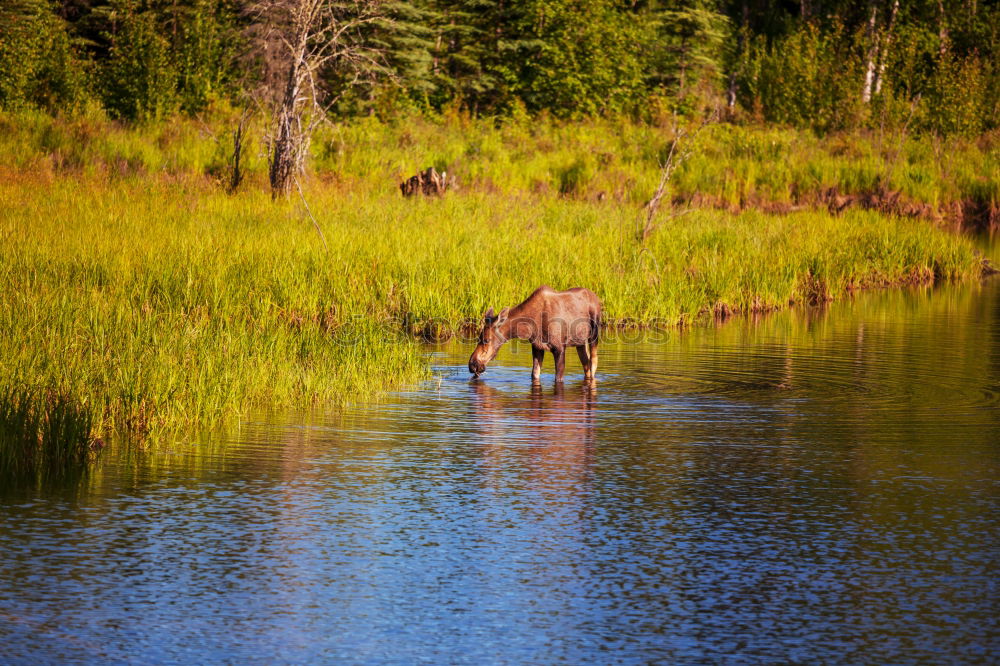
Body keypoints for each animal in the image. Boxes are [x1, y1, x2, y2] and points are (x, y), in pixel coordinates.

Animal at [468, 284, 600, 382]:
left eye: (486, 340)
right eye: (478, 338)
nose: (472, 365)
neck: (528, 327)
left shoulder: (559, 348)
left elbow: (558, 378)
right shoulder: (537, 347)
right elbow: (534, 374)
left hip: (594, 334)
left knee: (593, 363)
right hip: (580, 342)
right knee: (586, 365)